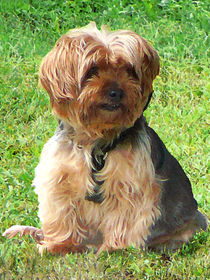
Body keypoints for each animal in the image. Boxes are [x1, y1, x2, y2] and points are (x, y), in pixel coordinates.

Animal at [3, 22, 207, 254]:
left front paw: (116, 249)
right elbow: (62, 214)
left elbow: (124, 216)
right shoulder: (59, 177)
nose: (115, 92)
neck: (95, 139)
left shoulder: (129, 182)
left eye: (129, 70)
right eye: (92, 70)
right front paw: (61, 245)